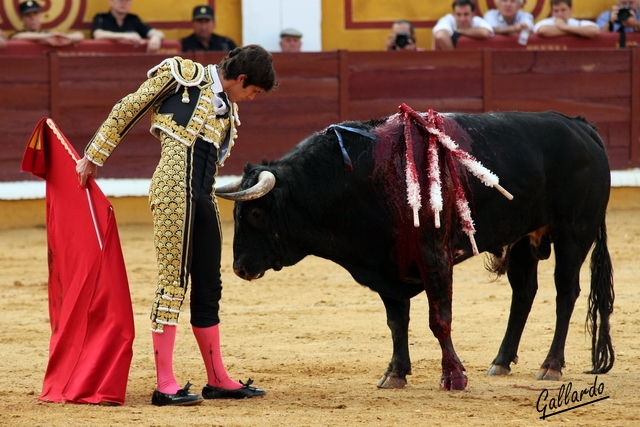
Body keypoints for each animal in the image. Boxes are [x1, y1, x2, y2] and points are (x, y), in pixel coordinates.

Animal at [218, 109, 612, 392]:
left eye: (255, 213)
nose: (239, 268)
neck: (357, 177)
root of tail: (581, 127)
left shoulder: (433, 256)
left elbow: (439, 319)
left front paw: (454, 377)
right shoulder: (386, 262)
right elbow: (397, 321)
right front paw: (395, 373)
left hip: (574, 234)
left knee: (566, 293)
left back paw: (551, 366)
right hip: (524, 239)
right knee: (524, 292)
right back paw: (501, 361)